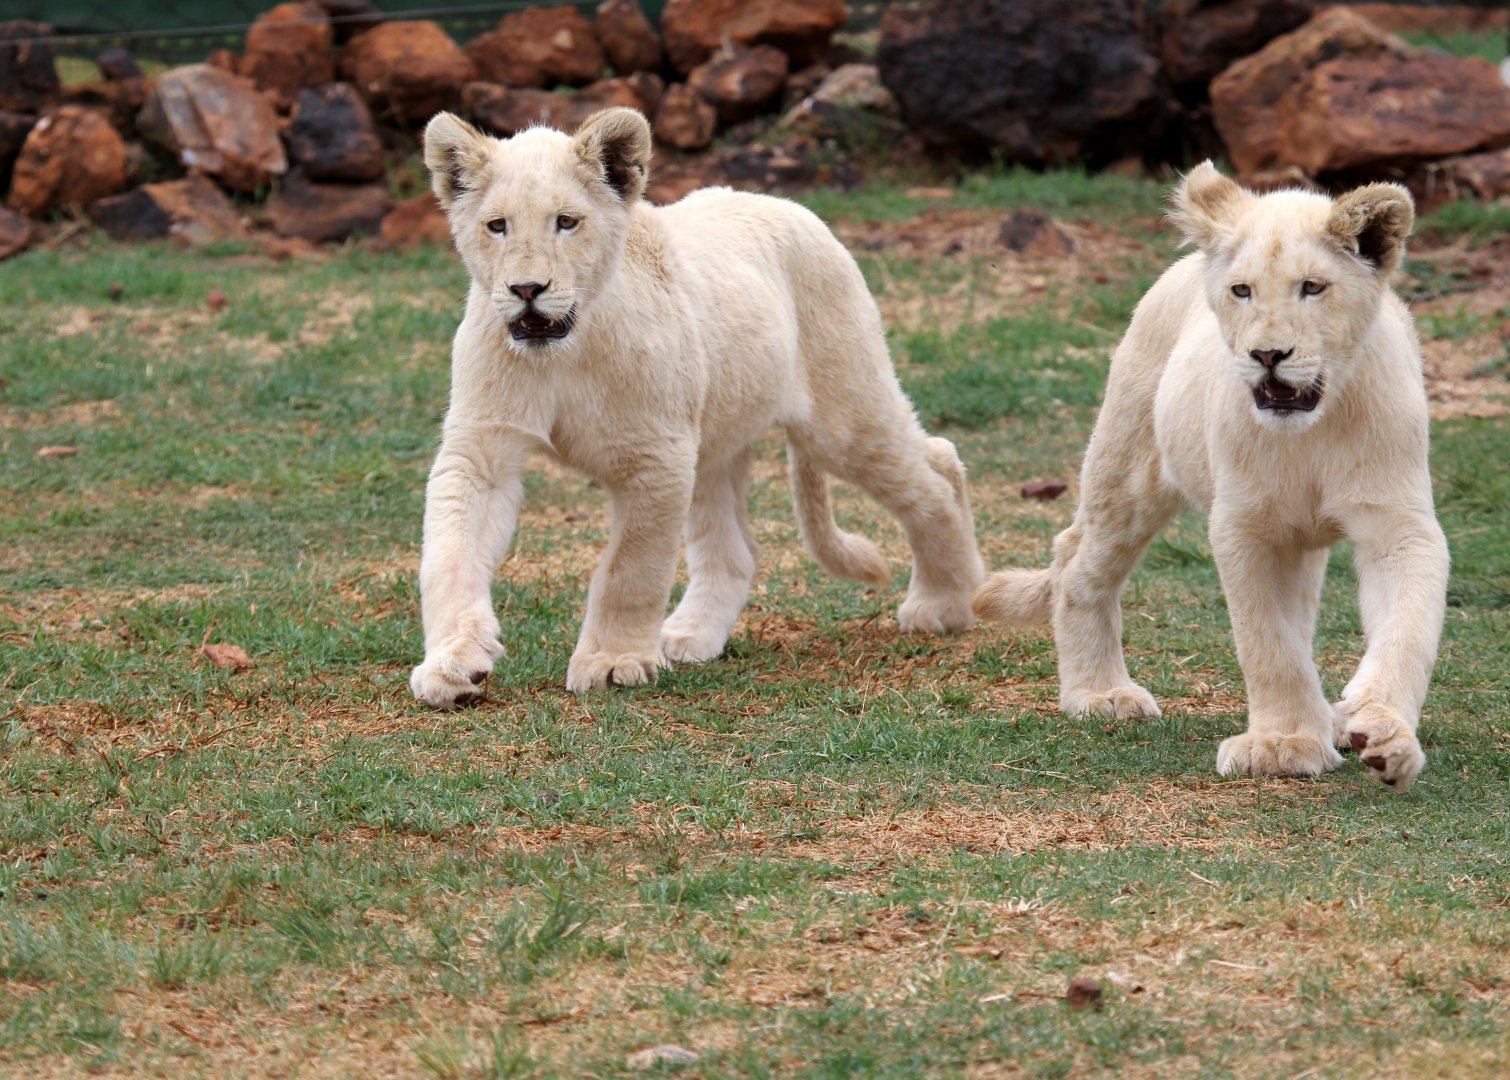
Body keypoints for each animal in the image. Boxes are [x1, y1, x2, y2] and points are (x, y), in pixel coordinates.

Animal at [408, 107, 985, 705]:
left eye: (566, 222)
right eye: (497, 226)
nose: (526, 289)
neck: (565, 350)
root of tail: (789, 206)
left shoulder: (655, 455)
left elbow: (631, 568)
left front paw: (612, 661)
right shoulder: (482, 449)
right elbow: (450, 555)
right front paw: (452, 664)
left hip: (841, 416)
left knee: (937, 467)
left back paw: (945, 602)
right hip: (714, 442)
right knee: (735, 552)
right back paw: (690, 637)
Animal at [972, 162, 1449, 790]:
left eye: (1313, 287)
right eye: (1242, 290)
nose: (1267, 355)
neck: (1309, 431)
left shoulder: (1397, 523)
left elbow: (1405, 630)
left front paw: (1383, 732)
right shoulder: (1245, 526)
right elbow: (1268, 643)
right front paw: (1283, 744)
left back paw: (1334, 717)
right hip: (1129, 476)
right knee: (1076, 563)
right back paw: (1100, 693)